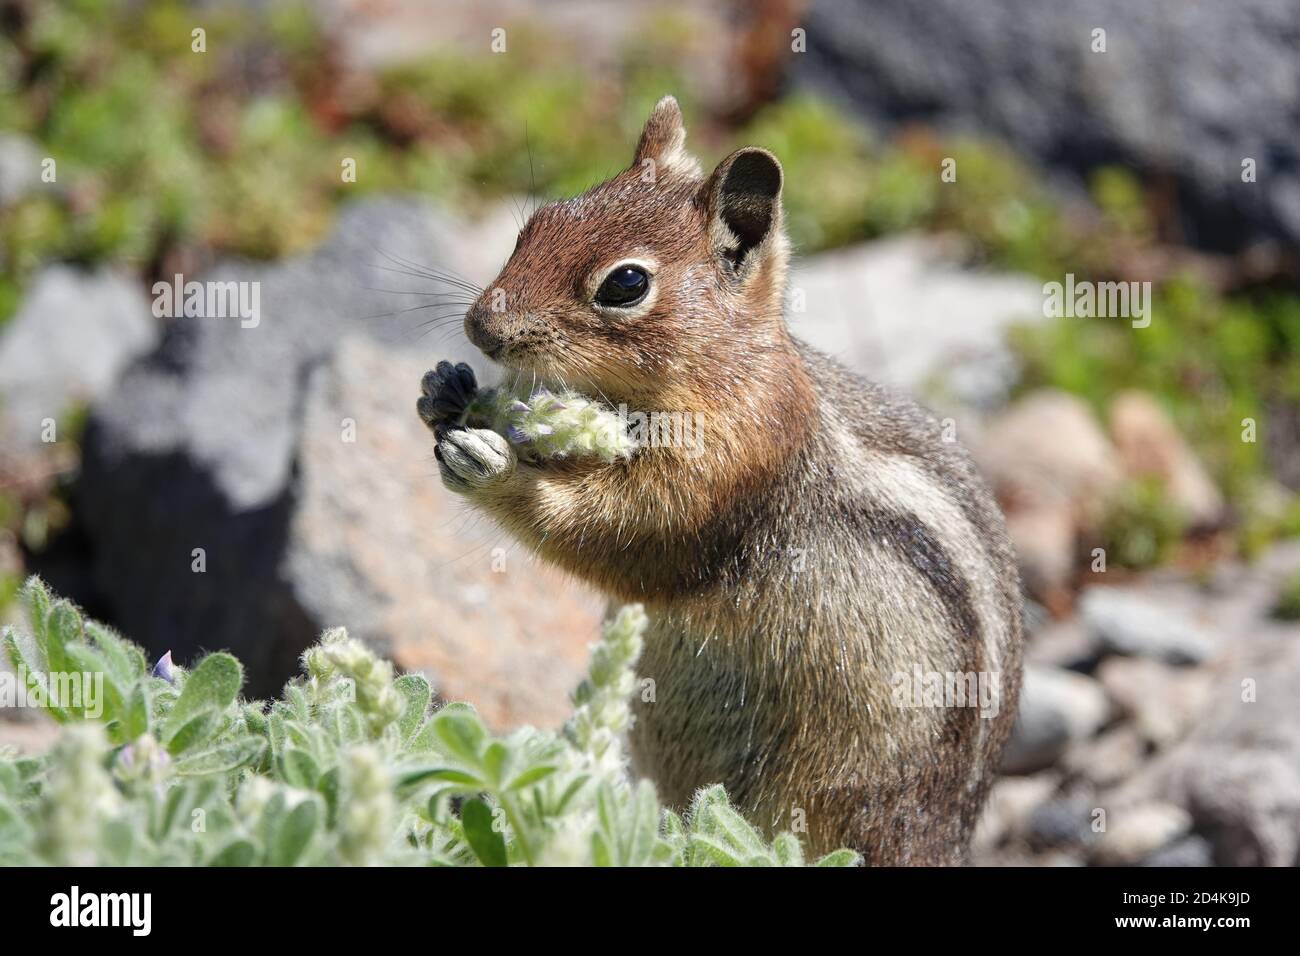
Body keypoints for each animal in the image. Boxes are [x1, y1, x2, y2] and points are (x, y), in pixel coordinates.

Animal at [421, 97, 1019, 868]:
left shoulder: (727, 471)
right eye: (536, 224)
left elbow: (621, 536)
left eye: (625, 284)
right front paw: (446, 392)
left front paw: (495, 470)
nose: (480, 327)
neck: (724, 370)